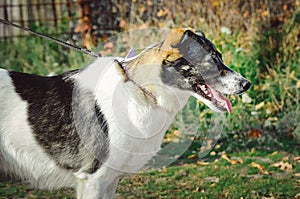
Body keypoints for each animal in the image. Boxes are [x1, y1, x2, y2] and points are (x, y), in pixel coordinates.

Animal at [0, 27, 250, 197]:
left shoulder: (109, 181)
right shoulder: (94, 180)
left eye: (220, 57)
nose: (246, 84)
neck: (141, 90)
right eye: (211, 60)